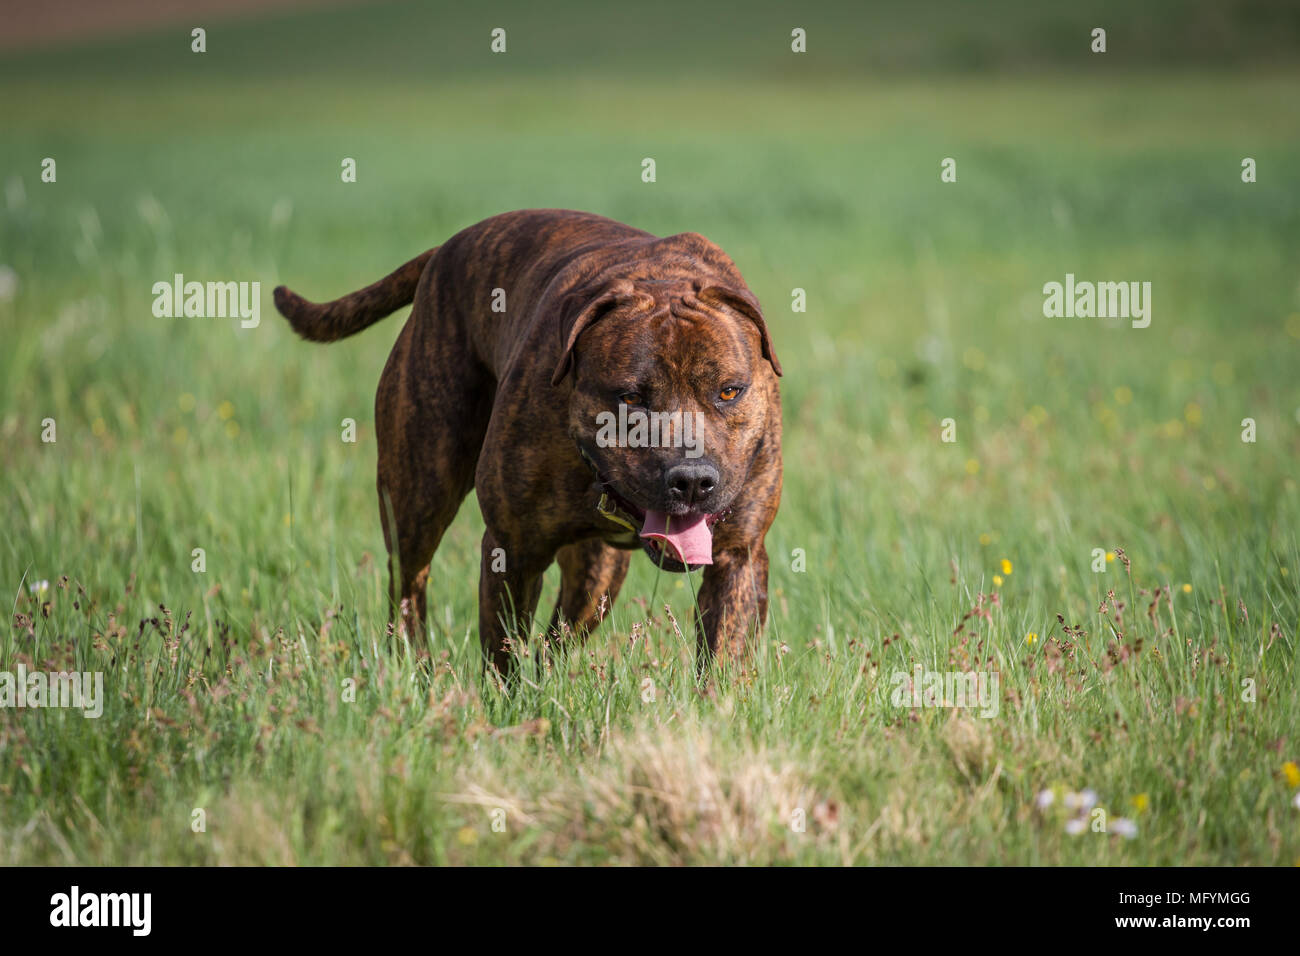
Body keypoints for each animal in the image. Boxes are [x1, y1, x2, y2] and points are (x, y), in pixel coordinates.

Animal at [274, 209, 780, 671]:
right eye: (631, 398)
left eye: (729, 391)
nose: (692, 480)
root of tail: (445, 249)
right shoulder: (513, 550)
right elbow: (504, 653)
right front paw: (508, 703)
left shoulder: (737, 556)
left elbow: (724, 657)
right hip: (419, 492)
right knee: (408, 583)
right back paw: (412, 666)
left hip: (598, 570)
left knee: (562, 631)